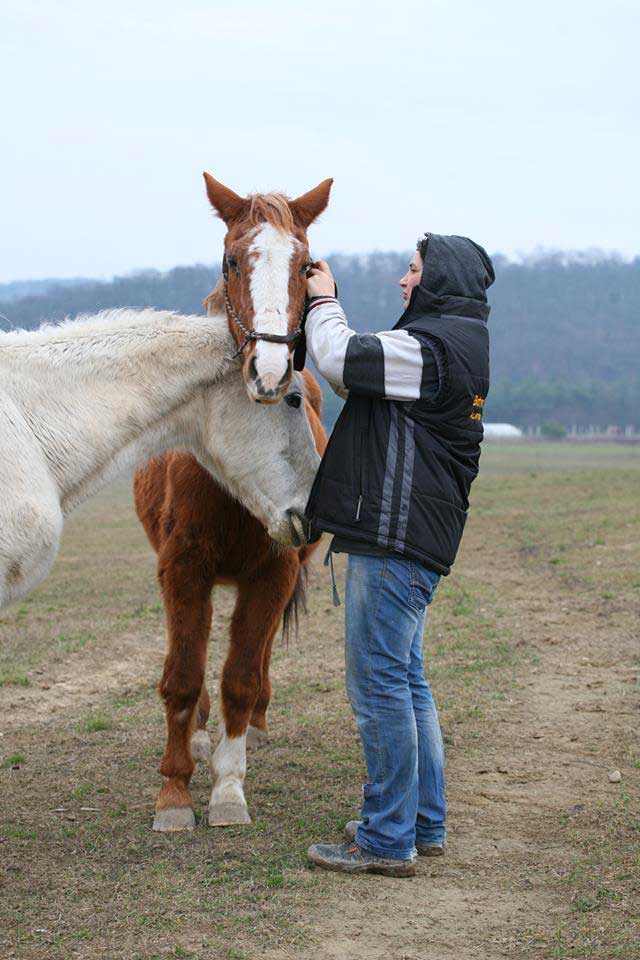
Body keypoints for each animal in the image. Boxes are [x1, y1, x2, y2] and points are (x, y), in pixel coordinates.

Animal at [134, 182, 330, 832]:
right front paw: (174, 792)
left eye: (305, 263)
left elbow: (240, 677)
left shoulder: (273, 571)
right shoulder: (183, 569)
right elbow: (182, 677)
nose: (268, 371)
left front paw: (227, 790)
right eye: (232, 260)